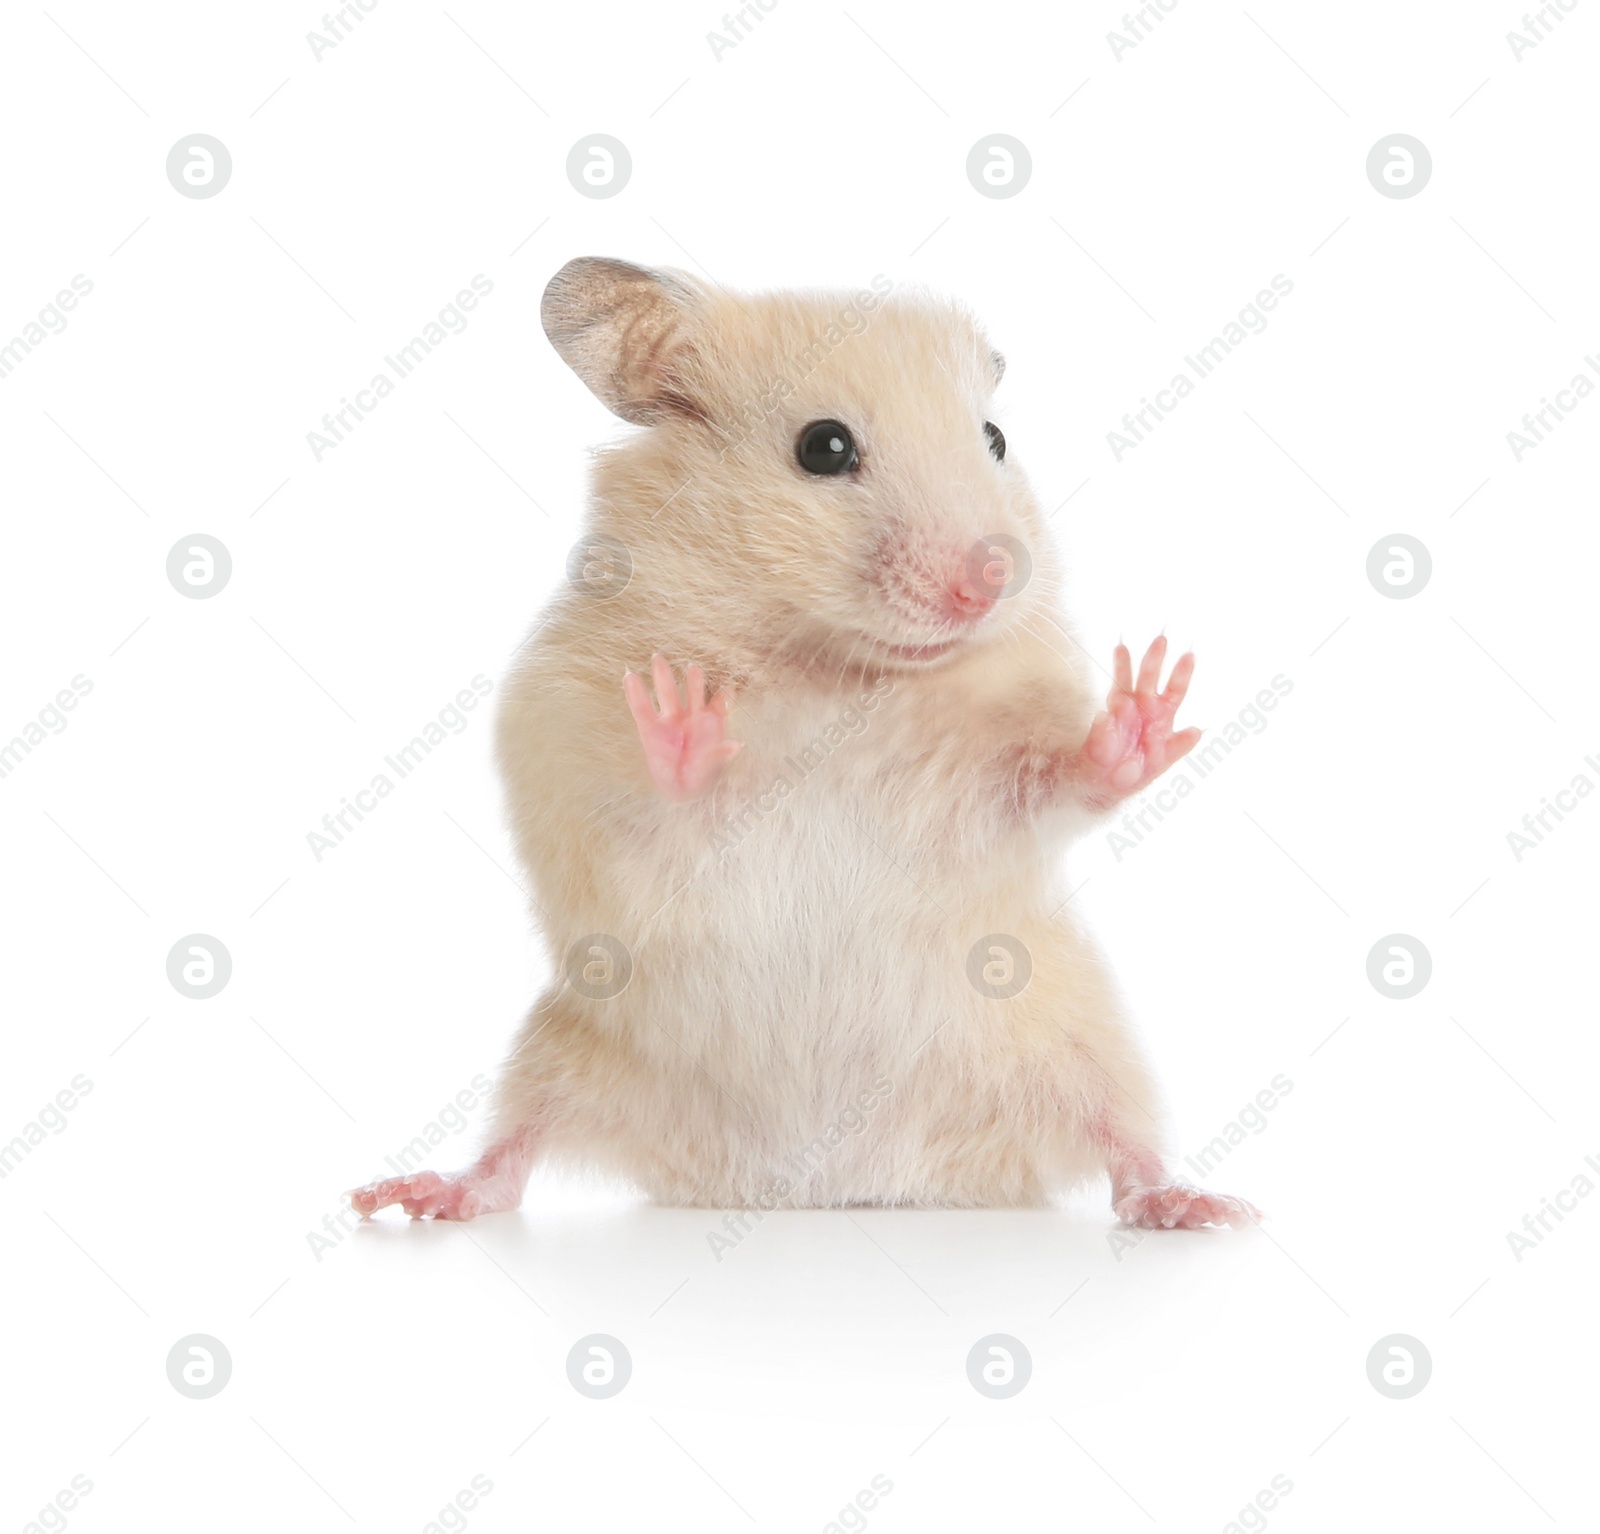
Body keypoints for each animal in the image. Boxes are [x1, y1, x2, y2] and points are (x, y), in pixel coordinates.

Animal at [350, 254, 1260, 1234]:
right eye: (823, 447)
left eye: (994, 438)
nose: (990, 579)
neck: (837, 675)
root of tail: (819, 1183)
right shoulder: (580, 752)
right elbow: (659, 792)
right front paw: (685, 715)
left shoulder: (980, 793)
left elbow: (1057, 779)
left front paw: (1151, 700)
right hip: (562, 1042)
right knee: (511, 1151)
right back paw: (410, 1195)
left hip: (1081, 1038)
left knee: (1126, 1147)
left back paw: (1202, 1206)